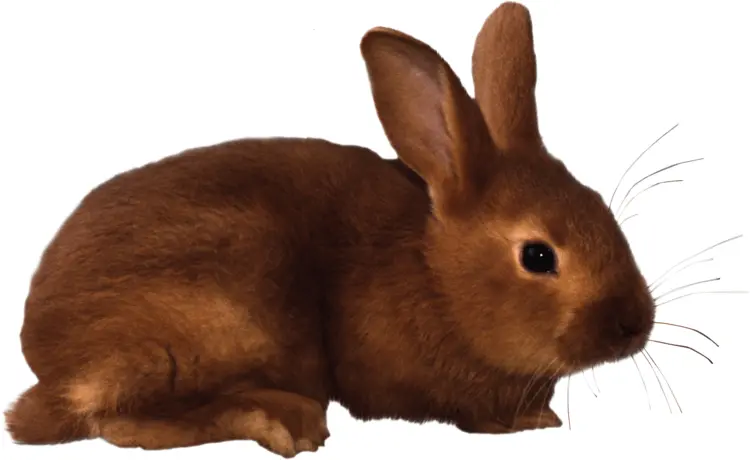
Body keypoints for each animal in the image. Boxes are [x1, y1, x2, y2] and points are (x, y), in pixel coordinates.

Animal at [4, 2, 655, 458]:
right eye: (538, 256)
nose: (633, 325)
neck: (434, 272)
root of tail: (50, 361)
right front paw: (518, 421)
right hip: (221, 316)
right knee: (119, 422)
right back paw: (283, 420)